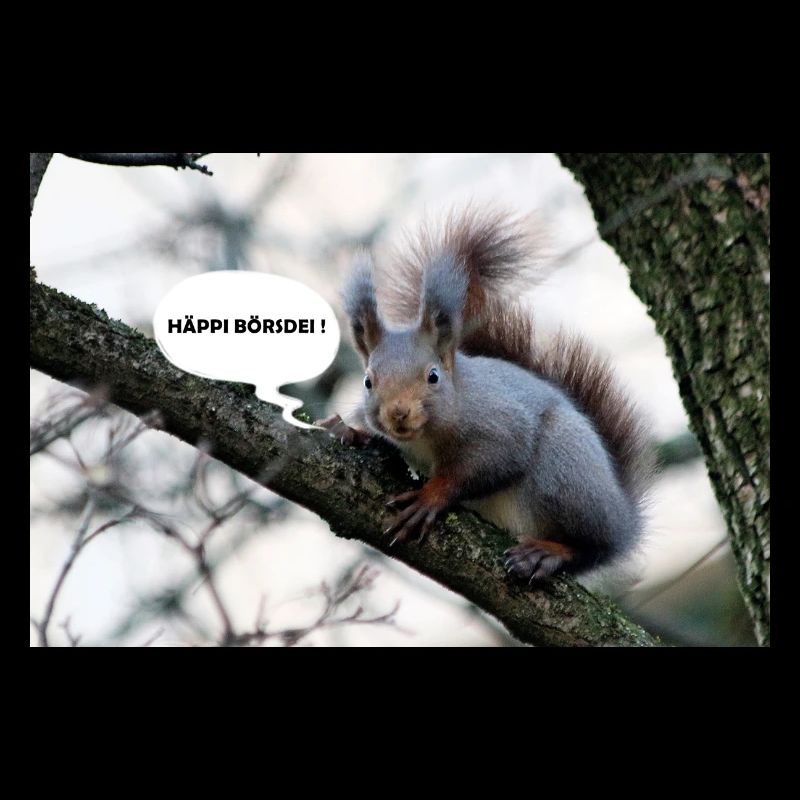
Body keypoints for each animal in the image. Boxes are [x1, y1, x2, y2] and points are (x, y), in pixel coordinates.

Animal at [318, 207, 654, 583]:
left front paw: (431, 496)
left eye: (433, 376)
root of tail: (624, 516)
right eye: (368, 382)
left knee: (592, 546)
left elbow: (491, 461)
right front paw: (347, 429)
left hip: (565, 471)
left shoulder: (497, 423)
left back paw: (547, 553)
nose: (398, 413)